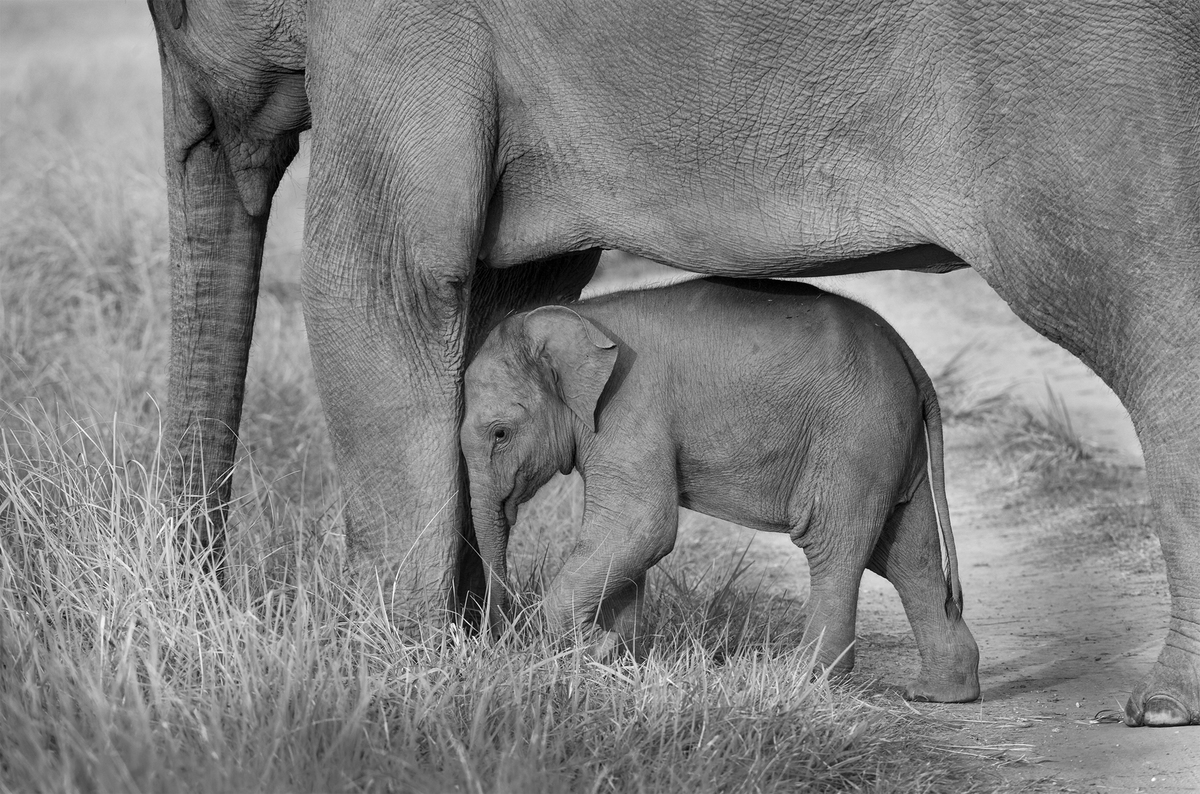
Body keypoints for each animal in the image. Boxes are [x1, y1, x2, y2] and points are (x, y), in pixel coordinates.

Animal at [460, 276, 982, 703]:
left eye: (501, 433)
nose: (496, 634)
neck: (579, 318)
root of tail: (906, 353)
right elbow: (628, 541)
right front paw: (614, 659)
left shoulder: (630, 409)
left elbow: (642, 526)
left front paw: (585, 650)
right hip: (888, 441)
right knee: (907, 554)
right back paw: (938, 693)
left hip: (855, 437)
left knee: (833, 544)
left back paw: (802, 679)